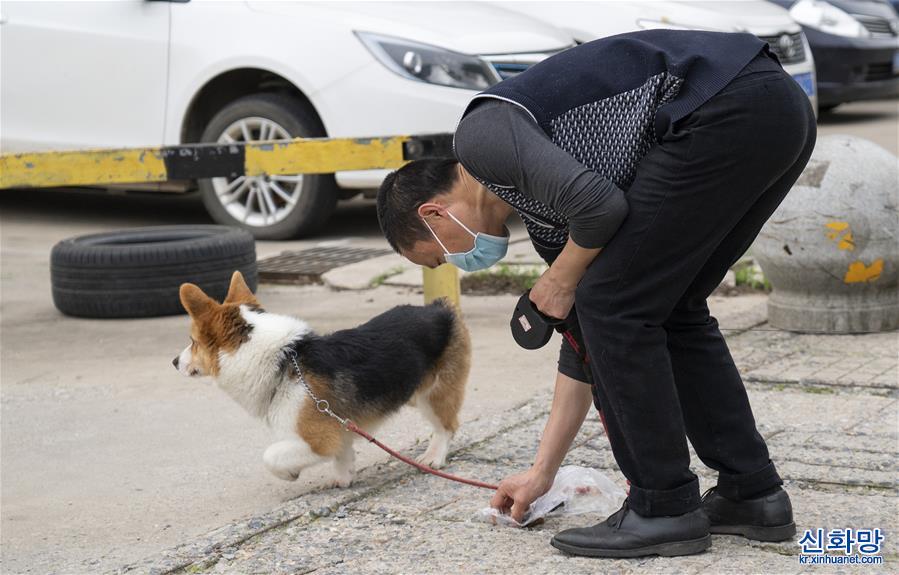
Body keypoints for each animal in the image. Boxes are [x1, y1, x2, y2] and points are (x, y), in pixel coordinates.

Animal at [172, 272, 474, 488]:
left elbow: (271, 456)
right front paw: (343, 478)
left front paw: (290, 473)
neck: (282, 360)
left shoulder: (318, 441)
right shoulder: (340, 429)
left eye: (193, 342)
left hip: (434, 395)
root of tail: (440, 308)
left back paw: (433, 457)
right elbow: (343, 454)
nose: (174, 362)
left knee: (447, 426)